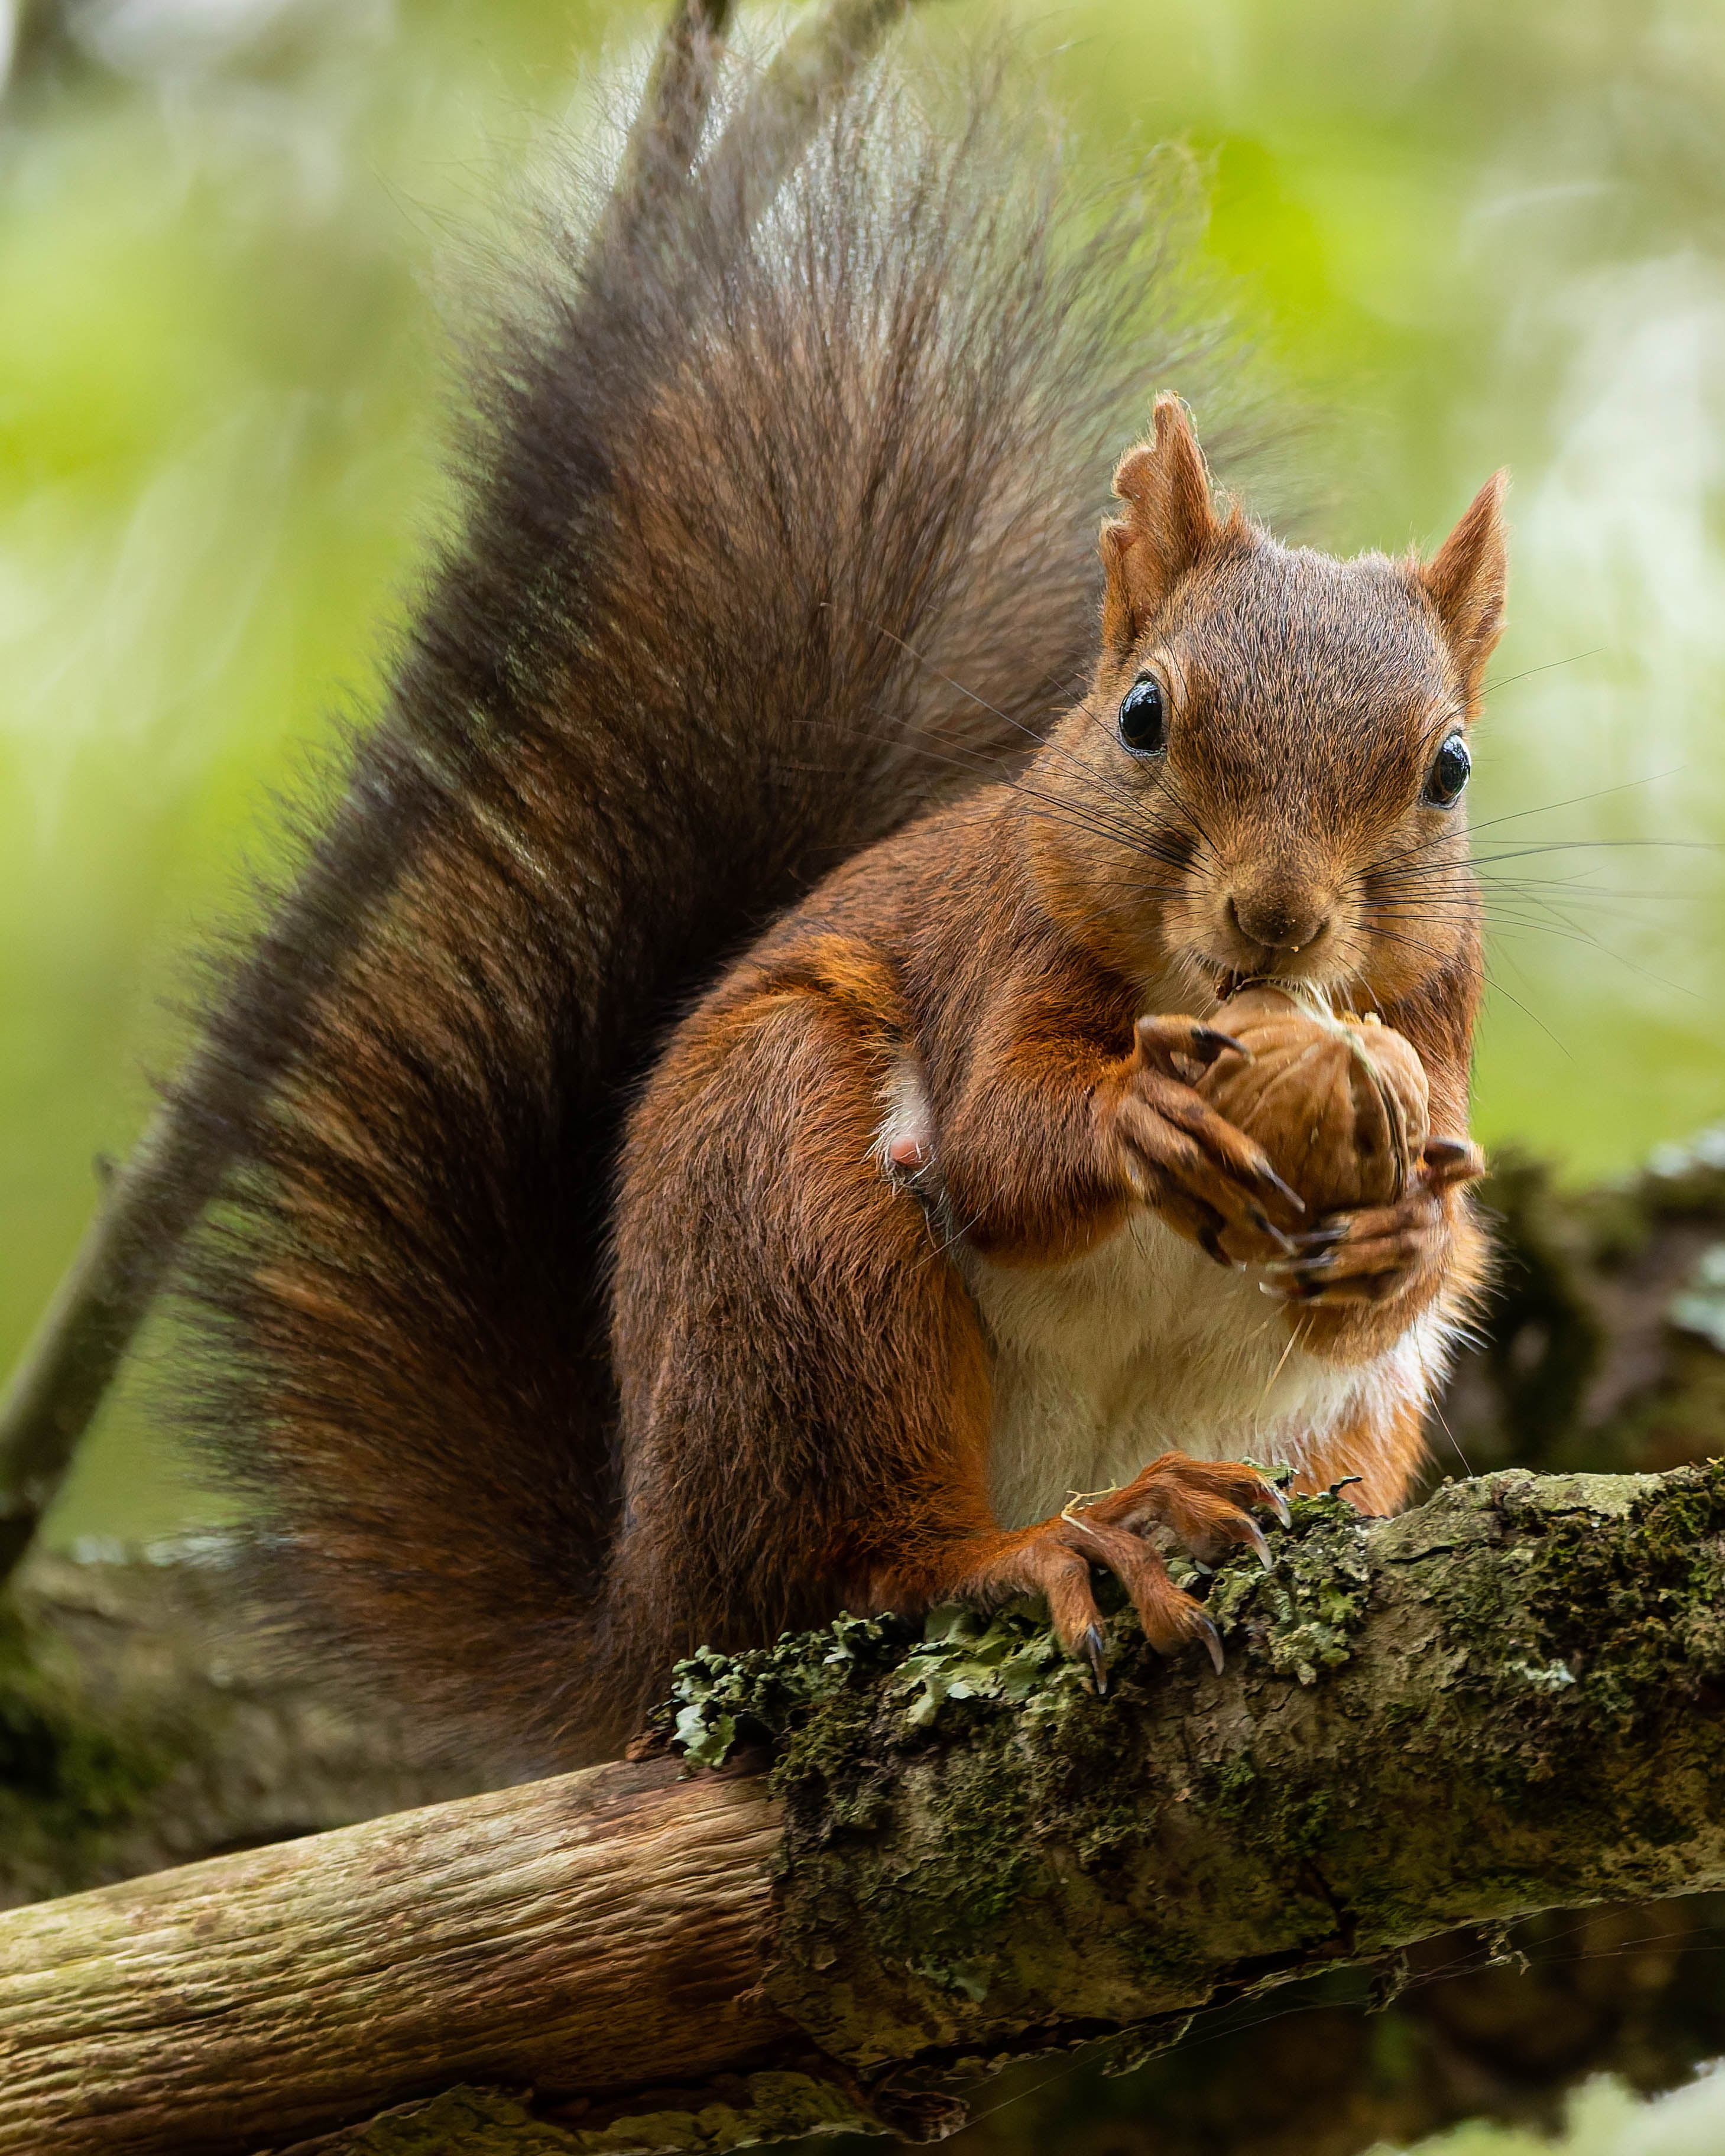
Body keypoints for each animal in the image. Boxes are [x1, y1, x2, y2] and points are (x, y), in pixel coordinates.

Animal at [168, 38, 1502, 1766]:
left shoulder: (1429, 1028)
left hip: (1339, 1428)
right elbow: (1003, 1149)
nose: (1271, 924)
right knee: (858, 1559)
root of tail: (647, 1606)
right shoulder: (1003, 945)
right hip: (796, 1224)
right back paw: (1061, 1540)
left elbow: (1423, 1257)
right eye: (1141, 715)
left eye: (1447, 768)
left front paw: (1404, 1226)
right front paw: (1135, 1119)